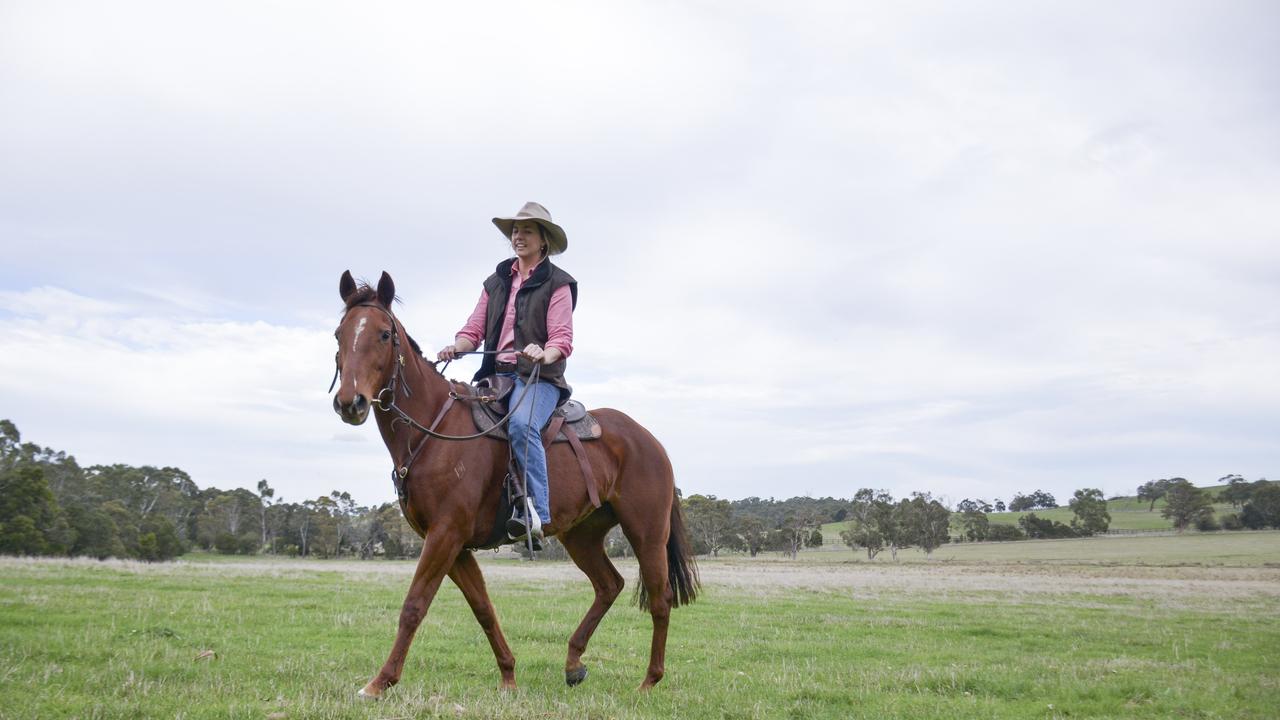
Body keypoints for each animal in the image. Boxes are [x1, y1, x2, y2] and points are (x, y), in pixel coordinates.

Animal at [330, 270, 701, 696]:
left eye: (384, 334)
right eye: (339, 333)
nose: (350, 402)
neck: (435, 431)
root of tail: (650, 441)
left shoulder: (445, 535)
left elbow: (414, 605)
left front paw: (380, 682)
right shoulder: (454, 545)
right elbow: (483, 609)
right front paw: (508, 675)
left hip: (647, 532)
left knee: (660, 597)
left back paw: (649, 680)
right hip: (582, 535)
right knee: (609, 585)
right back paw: (573, 664)